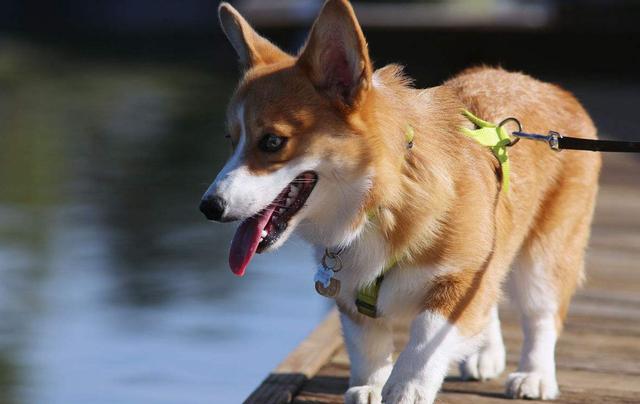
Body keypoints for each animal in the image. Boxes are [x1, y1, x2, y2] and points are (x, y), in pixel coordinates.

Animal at [200, 1, 601, 402]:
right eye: (230, 138)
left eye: (272, 142)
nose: (208, 207)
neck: (377, 202)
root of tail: (550, 88)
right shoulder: (351, 294)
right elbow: (368, 345)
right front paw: (370, 387)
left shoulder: (458, 279)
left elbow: (425, 340)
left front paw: (405, 388)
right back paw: (485, 356)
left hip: (544, 257)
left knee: (541, 315)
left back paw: (535, 376)